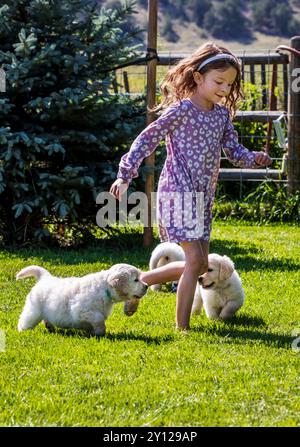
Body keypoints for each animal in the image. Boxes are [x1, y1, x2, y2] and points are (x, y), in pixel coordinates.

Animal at [16, 262, 148, 336]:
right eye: (136, 280)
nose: (146, 286)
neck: (105, 288)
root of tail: (45, 278)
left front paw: (94, 332)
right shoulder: (81, 310)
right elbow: (99, 318)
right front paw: (99, 332)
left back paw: (50, 327)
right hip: (34, 310)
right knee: (26, 319)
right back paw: (23, 331)